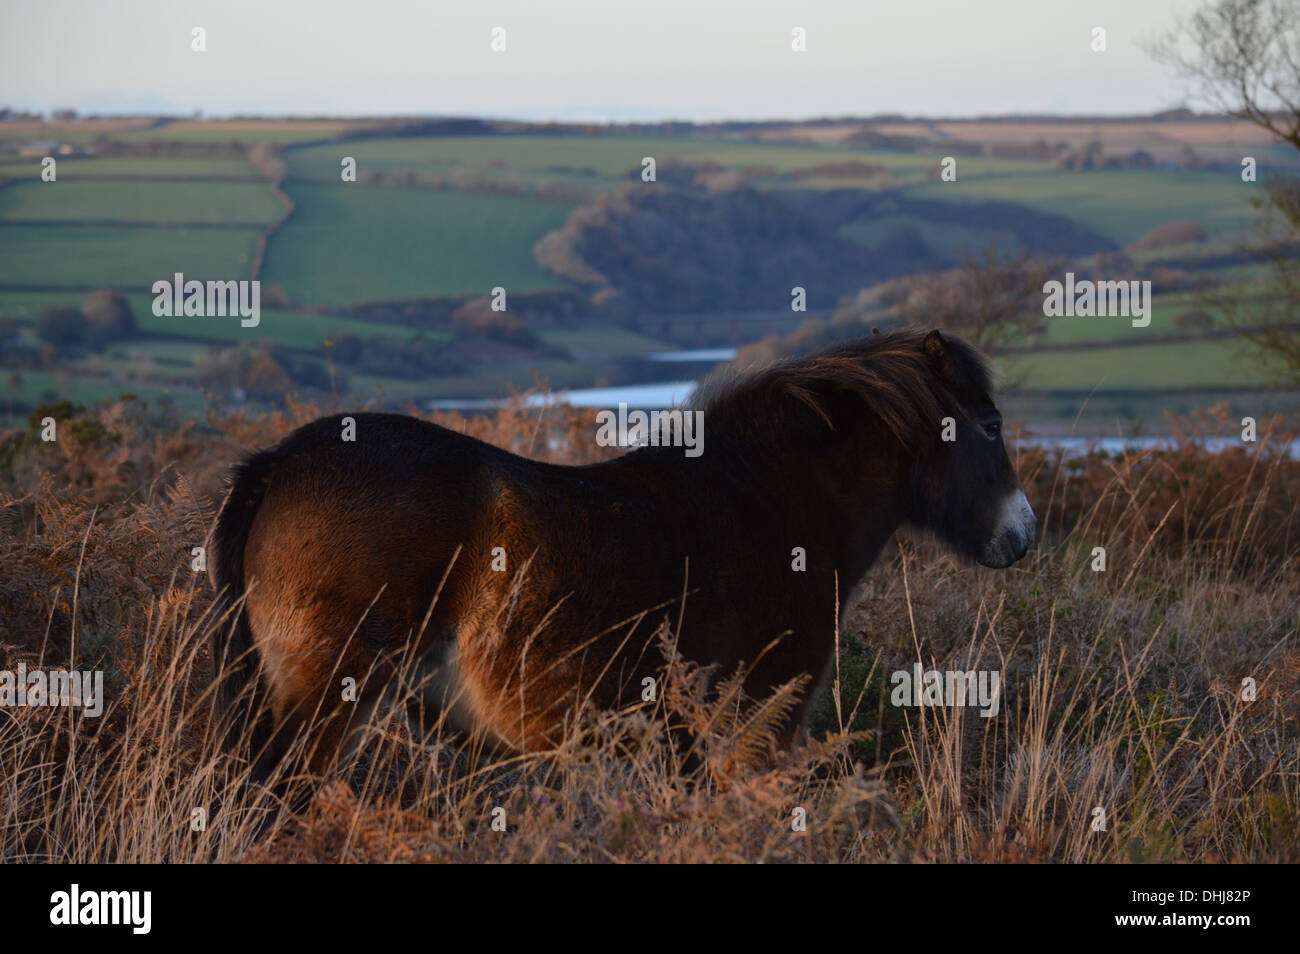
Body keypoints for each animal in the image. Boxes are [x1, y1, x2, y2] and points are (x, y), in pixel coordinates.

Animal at [208, 328, 1034, 779]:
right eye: (990, 424)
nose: (1021, 533)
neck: (763, 498)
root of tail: (279, 462)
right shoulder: (755, 727)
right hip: (324, 702)